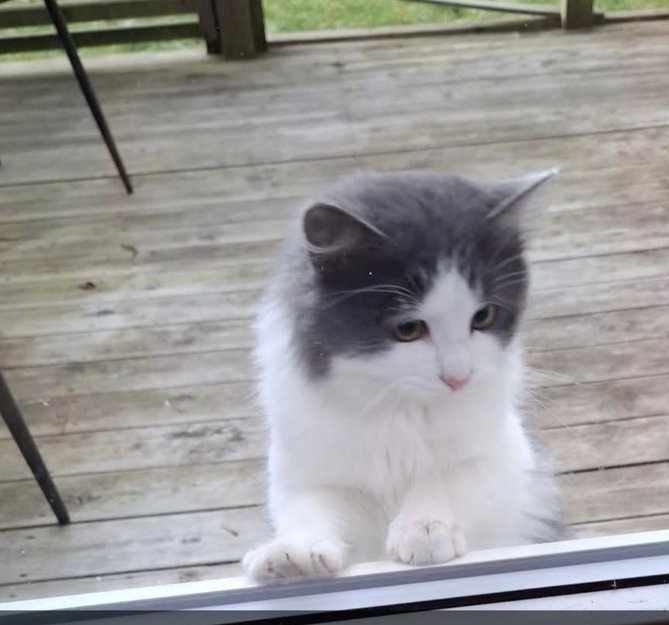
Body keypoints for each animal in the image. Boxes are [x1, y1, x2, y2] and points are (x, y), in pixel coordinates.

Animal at [242, 169, 563, 583]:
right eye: (408, 329)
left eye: (484, 317)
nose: (459, 377)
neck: (400, 406)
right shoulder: (303, 469)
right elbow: (309, 509)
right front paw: (294, 553)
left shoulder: (505, 454)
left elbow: (449, 477)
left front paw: (424, 527)